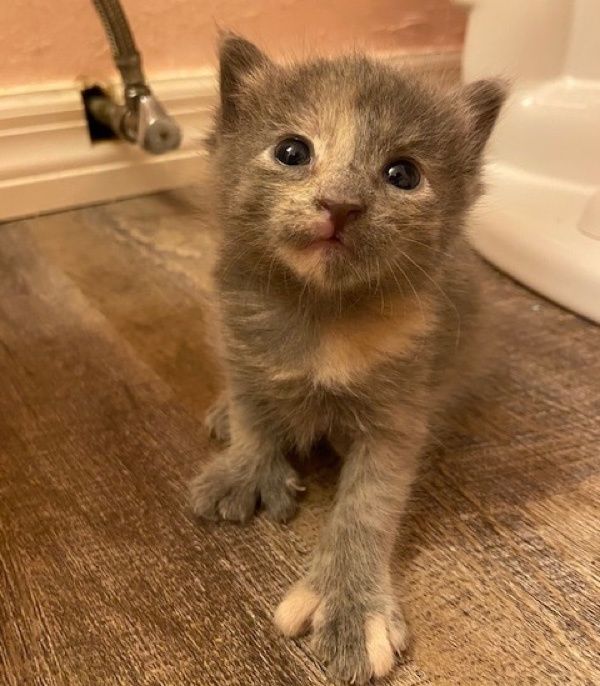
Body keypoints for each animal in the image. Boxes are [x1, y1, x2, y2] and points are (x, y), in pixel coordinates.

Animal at [191, 35, 502, 684]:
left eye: (403, 174)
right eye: (291, 151)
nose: (340, 204)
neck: (321, 314)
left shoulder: (397, 415)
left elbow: (367, 506)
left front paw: (352, 611)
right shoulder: (242, 346)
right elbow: (255, 412)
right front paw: (245, 470)